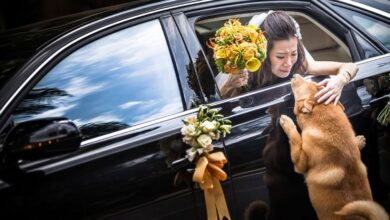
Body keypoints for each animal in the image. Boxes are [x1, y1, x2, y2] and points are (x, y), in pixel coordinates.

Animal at [280, 75, 386, 219]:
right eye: (315, 84)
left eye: (302, 85)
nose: (295, 75)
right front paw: (359, 141)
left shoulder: (300, 163)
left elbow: (295, 136)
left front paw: (287, 123)